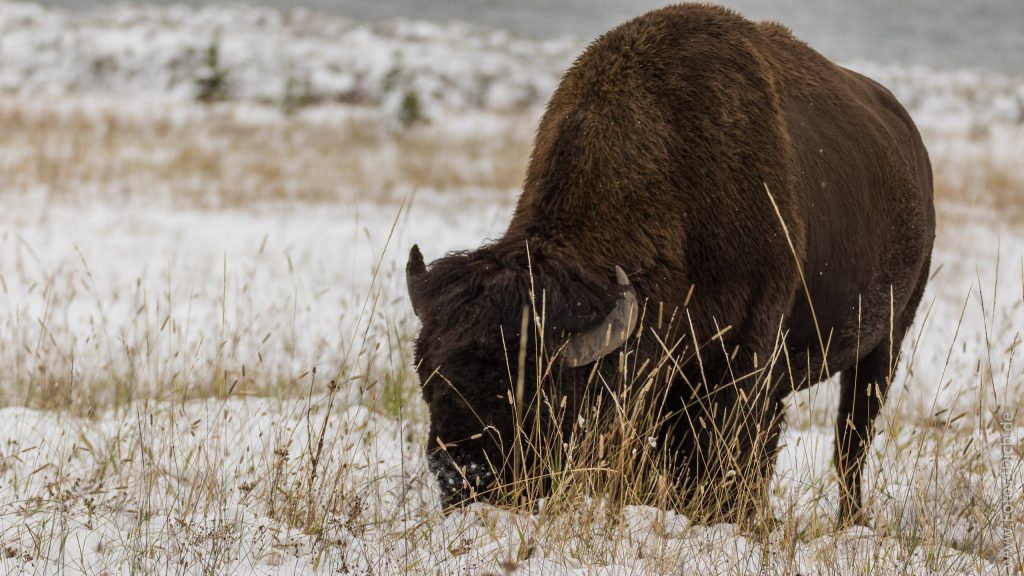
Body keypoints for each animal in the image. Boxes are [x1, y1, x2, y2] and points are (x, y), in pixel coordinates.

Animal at [405, 2, 937, 522]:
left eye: (538, 393)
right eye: (428, 379)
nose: (463, 477)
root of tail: (914, 150)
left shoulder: (739, 363)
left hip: (885, 344)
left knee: (851, 440)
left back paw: (848, 519)